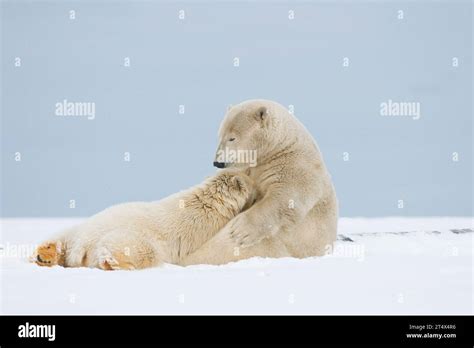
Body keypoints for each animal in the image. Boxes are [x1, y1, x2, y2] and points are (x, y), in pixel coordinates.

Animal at [180, 99, 338, 266]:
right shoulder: (250, 167)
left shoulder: (296, 166)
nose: (218, 162)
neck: (279, 146)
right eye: (220, 136)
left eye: (232, 138)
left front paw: (241, 230)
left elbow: (286, 198)